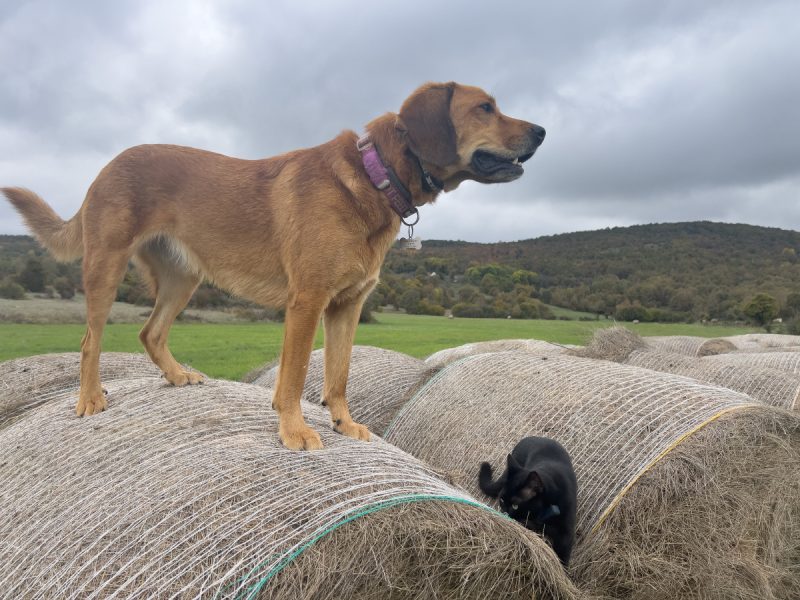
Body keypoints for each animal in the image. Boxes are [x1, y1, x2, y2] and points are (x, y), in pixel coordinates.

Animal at [3, 83, 544, 450]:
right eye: (485, 107)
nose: (542, 130)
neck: (374, 178)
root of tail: (106, 167)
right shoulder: (308, 300)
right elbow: (296, 374)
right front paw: (294, 429)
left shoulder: (347, 305)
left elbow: (338, 375)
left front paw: (343, 423)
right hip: (106, 266)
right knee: (90, 339)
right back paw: (90, 399)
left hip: (183, 276)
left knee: (149, 332)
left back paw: (177, 377)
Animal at [478, 436, 580, 568]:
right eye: (502, 500)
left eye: (515, 506)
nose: (505, 514)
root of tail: (534, 437)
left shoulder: (565, 533)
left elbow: (562, 557)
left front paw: (563, 572)